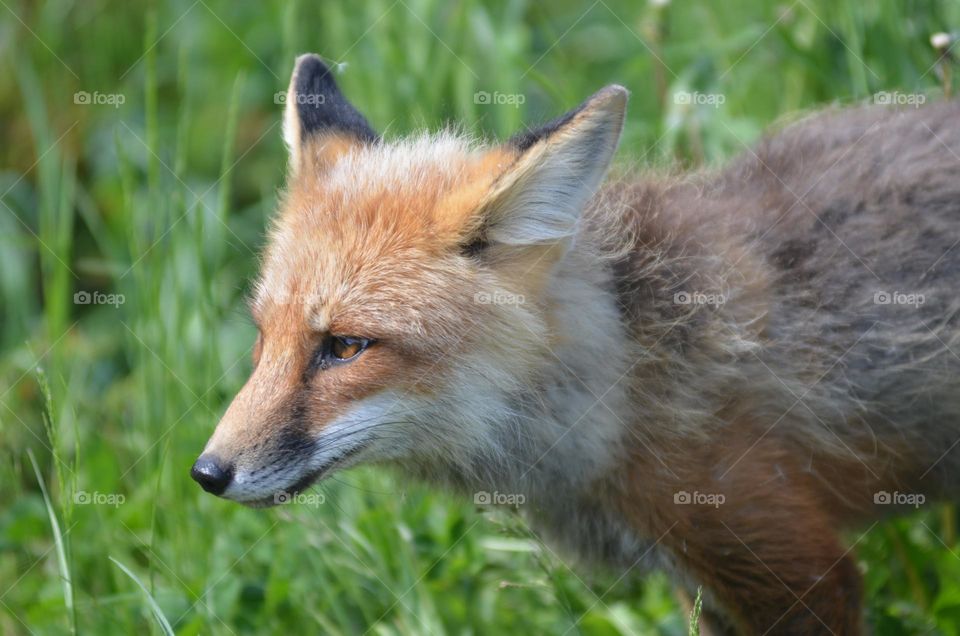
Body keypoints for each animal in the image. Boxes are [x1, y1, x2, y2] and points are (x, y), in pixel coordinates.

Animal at [191, 53, 960, 634]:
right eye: (263, 336)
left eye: (347, 346)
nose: (206, 473)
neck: (627, 378)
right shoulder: (701, 583)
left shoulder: (798, 569)